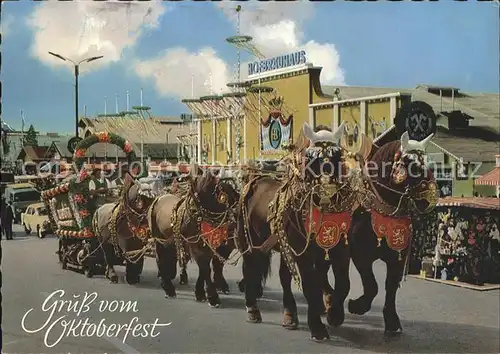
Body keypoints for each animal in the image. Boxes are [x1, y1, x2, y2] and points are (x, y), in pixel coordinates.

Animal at [236, 121, 358, 340]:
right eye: (310, 158)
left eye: (337, 156)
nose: (326, 191)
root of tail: (255, 178)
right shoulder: (304, 253)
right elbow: (310, 285)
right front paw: (317, 327)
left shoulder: (340, 251)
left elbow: (343, 284)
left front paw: (334, 314)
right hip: (249, 241)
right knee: (249, 268)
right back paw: (252, 309)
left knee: (284, 277)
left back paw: (290, 314)